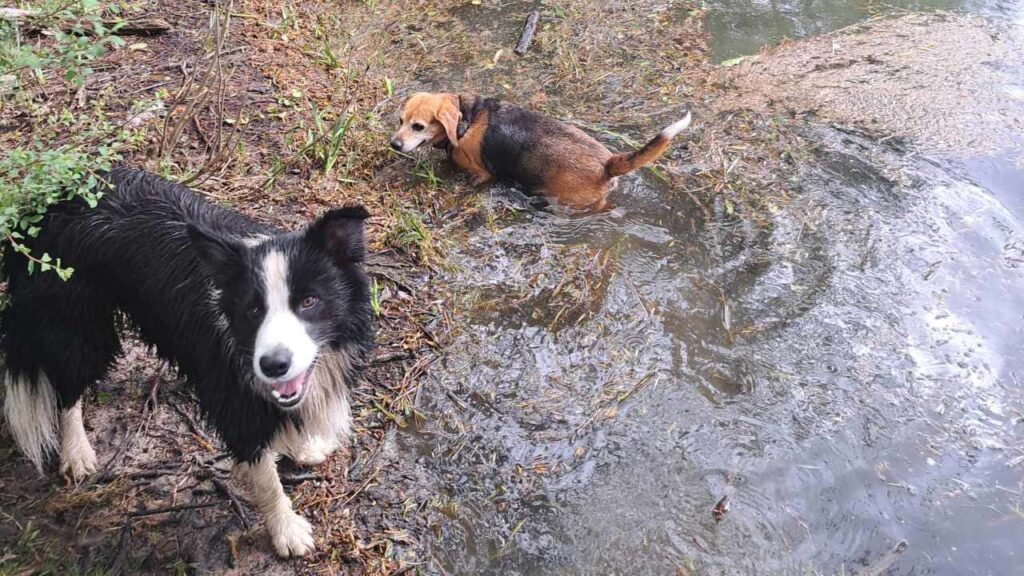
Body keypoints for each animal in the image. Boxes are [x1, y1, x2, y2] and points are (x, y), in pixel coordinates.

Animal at [387, 91, 692, 211]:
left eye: (418, 126)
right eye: (399, 121)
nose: (394, 144)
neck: (466, 118)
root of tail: (607, 163)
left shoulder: (481, 175)